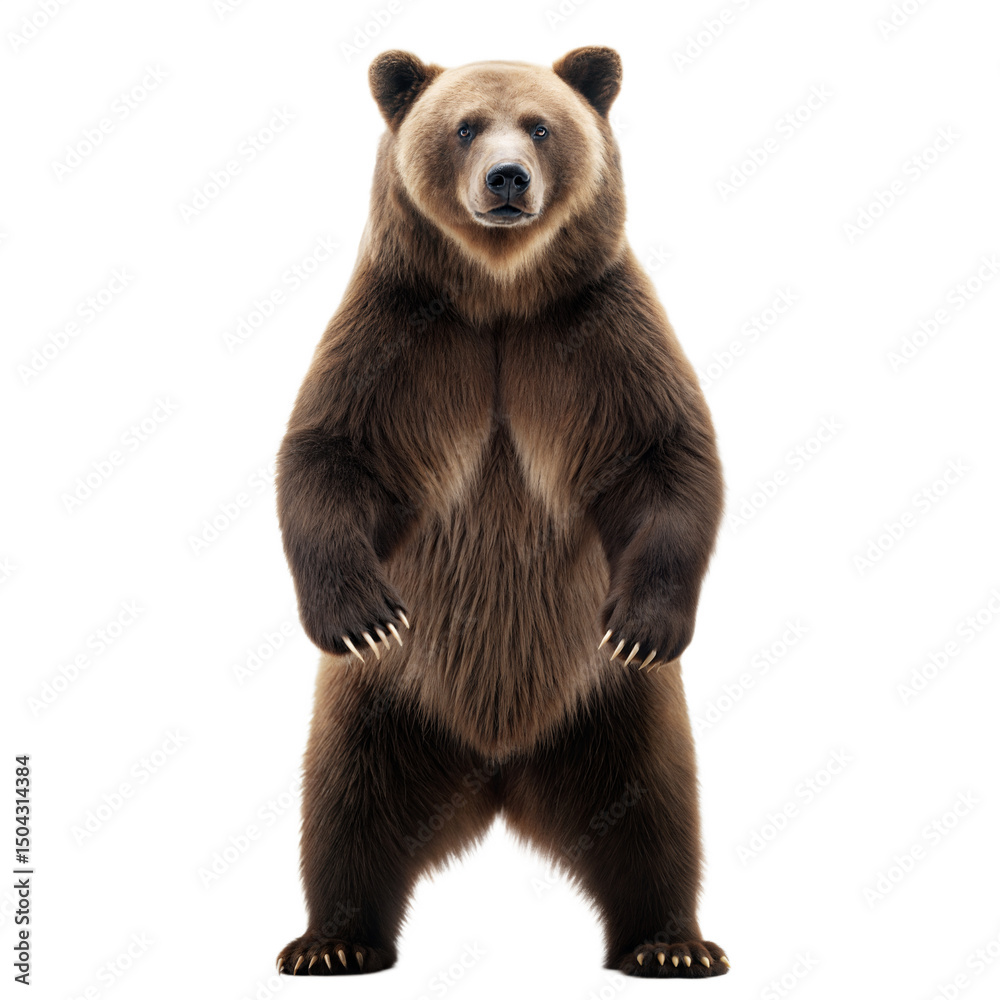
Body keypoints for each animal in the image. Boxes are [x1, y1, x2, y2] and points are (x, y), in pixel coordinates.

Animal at [274, 46, 729, 979]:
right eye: (466, 126)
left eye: (542, 125)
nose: (509, 177)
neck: (498, 296)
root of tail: (497, 771)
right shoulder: (399, 333)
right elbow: (330, 452)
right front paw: (361, 613)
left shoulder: (598, 331)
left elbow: (668, 456)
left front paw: (645, 623)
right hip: (382, 701)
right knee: (343, 804)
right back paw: (333, 941)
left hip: (617, 707)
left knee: (658, 812)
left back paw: (671, 944)